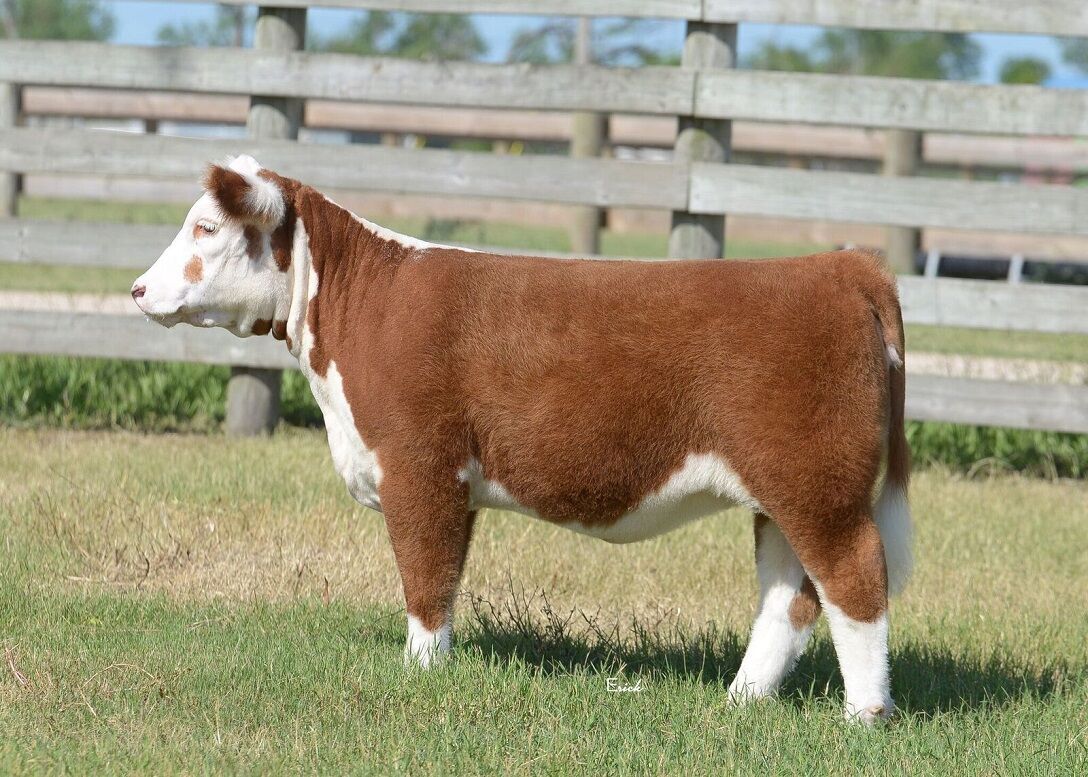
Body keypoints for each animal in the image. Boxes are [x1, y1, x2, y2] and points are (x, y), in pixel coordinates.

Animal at [132, 156, 912, 724]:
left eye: (206, 227)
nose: (138, 289)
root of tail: (840, 265)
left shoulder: (419, 468)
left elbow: (428, 580)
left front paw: (422, 673)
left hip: (819, 487)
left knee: (855, 581)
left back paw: (865, 715)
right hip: (781, 493)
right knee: (790, 596)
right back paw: (743, 699)